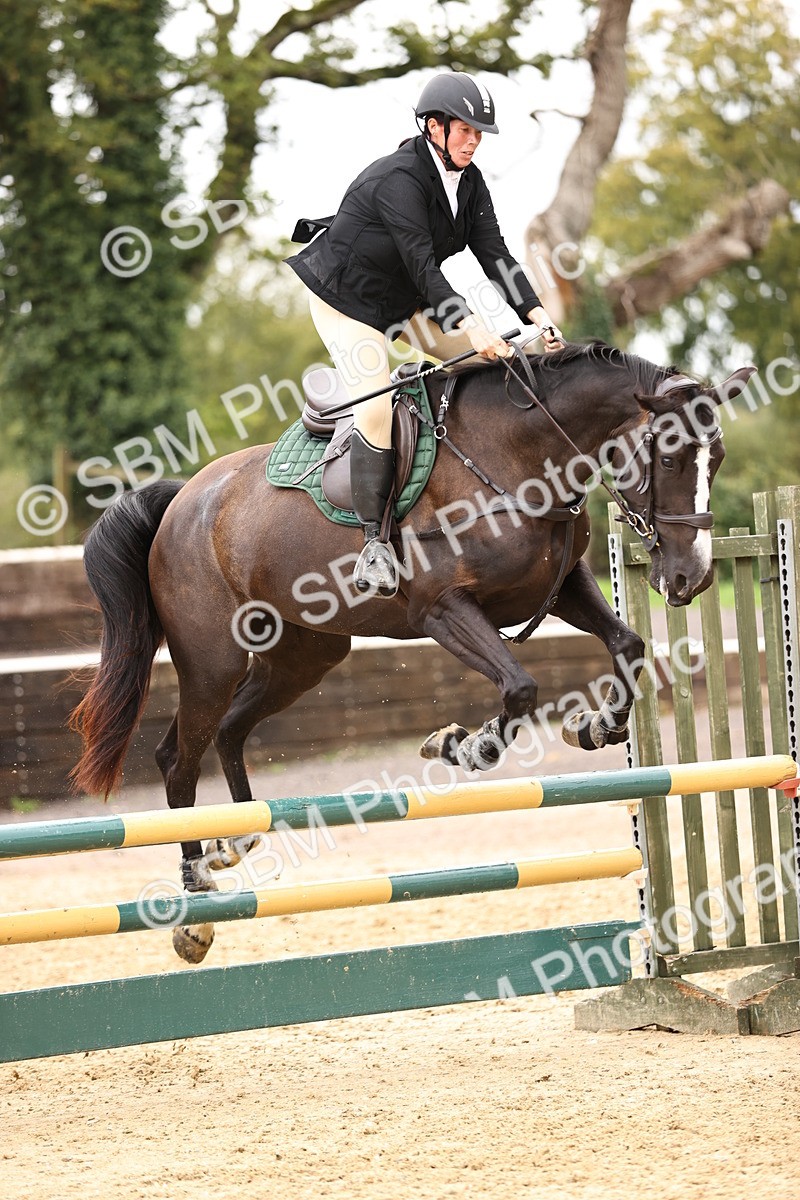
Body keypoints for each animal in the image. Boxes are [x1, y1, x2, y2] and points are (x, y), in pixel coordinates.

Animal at [69, 341, 754, 963]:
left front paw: (596, 726)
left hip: (303, 656)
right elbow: (520, 687)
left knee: (232, 730)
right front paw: (465, 746)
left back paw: (235, 842)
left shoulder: (559, 588)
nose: (691, 579)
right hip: (213, 661)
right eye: (669, 455)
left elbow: (628, 645)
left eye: (717, 458)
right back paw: (195, 910)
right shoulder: (442, 610)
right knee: (177, 759)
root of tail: (184, 500)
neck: (519, 454)